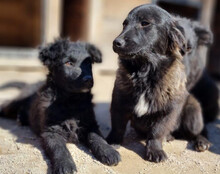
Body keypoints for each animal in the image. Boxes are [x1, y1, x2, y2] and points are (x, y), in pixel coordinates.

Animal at [0, 38, 120, 173]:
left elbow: (97, 137)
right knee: (6, 106)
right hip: (15, 103)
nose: (88, 79)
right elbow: (59, 149)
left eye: (88, 63)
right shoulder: (51, 131)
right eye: (68, 63)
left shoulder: (90, 123)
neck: (70, 101)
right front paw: (65, 164)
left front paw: (109, 151)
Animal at [106, 4, 218, 164]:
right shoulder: (119, 101)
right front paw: (112, 142)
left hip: (193, 114)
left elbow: (157, 132)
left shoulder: (169, 109)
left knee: (199, 130)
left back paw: (202, 141)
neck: (145, 73)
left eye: (145, 23)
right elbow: (118, 126)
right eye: (124, 24)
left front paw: (155, 150)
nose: (116, 43)